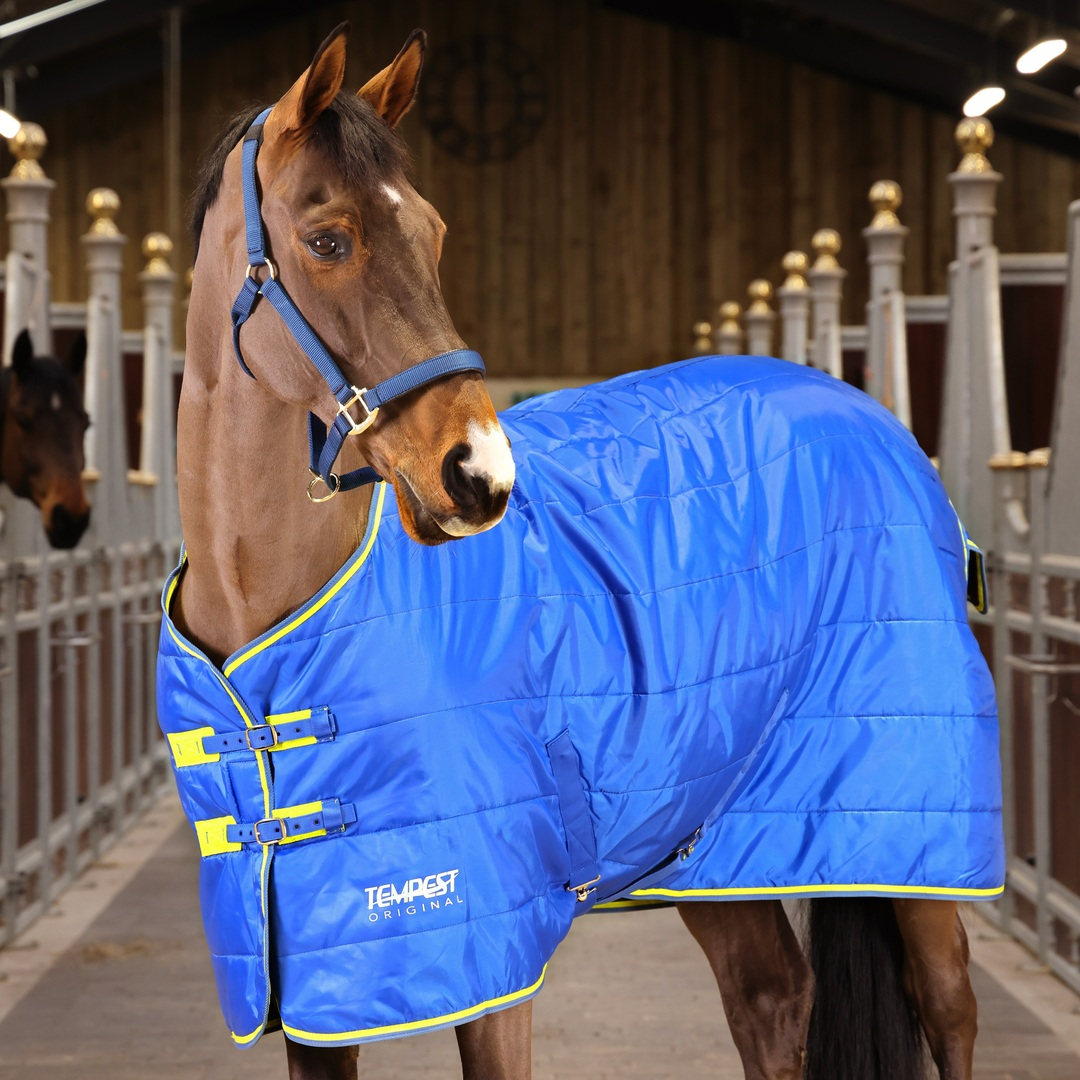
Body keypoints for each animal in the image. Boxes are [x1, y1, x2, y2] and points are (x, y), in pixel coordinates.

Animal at [160, 23, 1002, 1080]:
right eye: (327, 240)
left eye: (433, 232)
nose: (478, 473)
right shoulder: (316, 989)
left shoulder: (492, 956)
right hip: (710, 842)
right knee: (773, 997)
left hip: (913, 823)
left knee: (948, 1004)